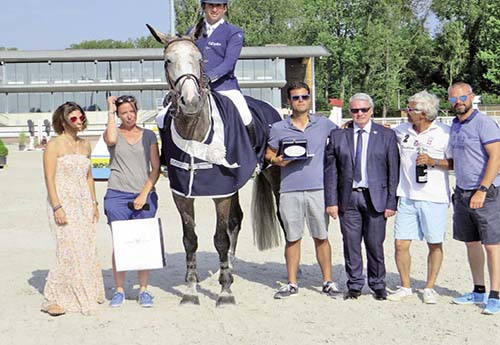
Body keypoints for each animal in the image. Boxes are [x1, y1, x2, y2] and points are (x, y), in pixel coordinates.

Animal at [146, 23, 284, 304]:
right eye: (167, 61)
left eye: (200, 60)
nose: (190, 102)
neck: (194, 131)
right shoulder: (183, 194)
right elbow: (190, 239)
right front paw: (191, 290)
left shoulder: (221, 193)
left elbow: (220, 238)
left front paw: (225, 292)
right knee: (237, 220)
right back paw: (230, 266)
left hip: (273, 177)